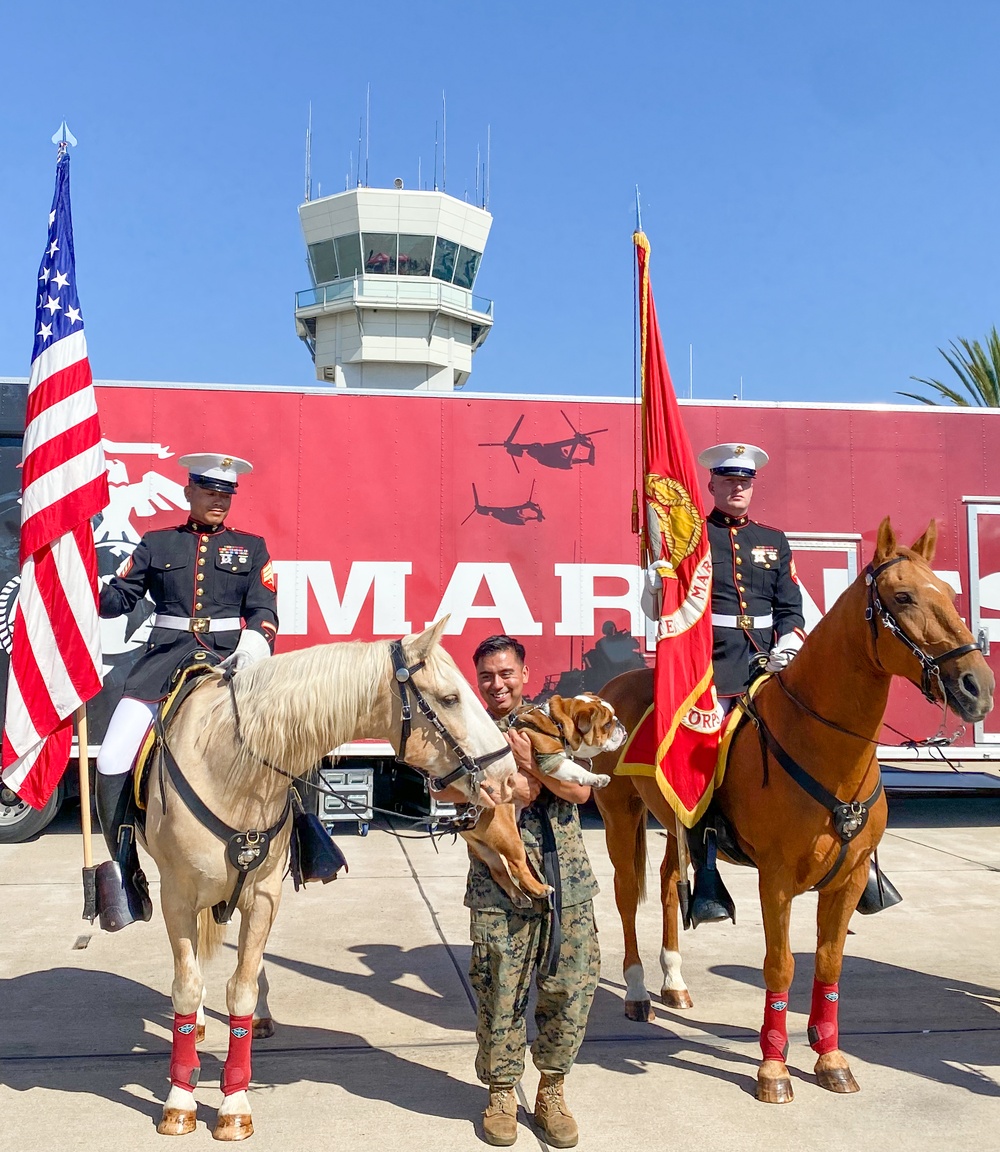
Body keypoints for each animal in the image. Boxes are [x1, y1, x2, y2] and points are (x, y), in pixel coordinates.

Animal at [144, 622, 516, 1133]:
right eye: (450, 698)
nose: (509, 775)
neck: (228, 766)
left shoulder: (264, 896)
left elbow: (241, 988)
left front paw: (234, 1104)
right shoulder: (176, 897)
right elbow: (185, 984)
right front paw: (180, 1098)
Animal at [594, 518, 990, 1101]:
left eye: (950, 593)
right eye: (903, 597)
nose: (977, 688)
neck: (826, 746)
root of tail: (613, 687)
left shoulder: (849, 878)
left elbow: (828, 964)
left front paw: (830, 1058)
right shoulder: (776, 878)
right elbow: (779, 967)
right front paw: (774, 1068)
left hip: (676, 823)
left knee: (668, 884)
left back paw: (674, 980)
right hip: (621, 816)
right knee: (627, 897)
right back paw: (638, 990)